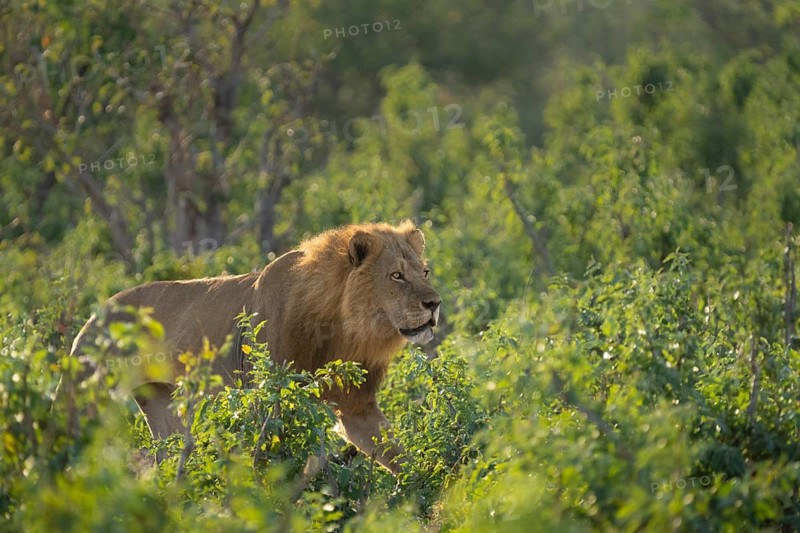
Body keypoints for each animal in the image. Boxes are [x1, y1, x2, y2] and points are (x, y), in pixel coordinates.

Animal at [66, 220, 441, 473]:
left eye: (424, 272)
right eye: (396, 276)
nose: (435, 303)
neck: (344, 328)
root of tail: (95, 313)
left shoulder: (356, 406)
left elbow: (400, 456)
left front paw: (434, 492)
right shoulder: (268, 403)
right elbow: (274, 462)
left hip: (162, 405)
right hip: (84, 400)